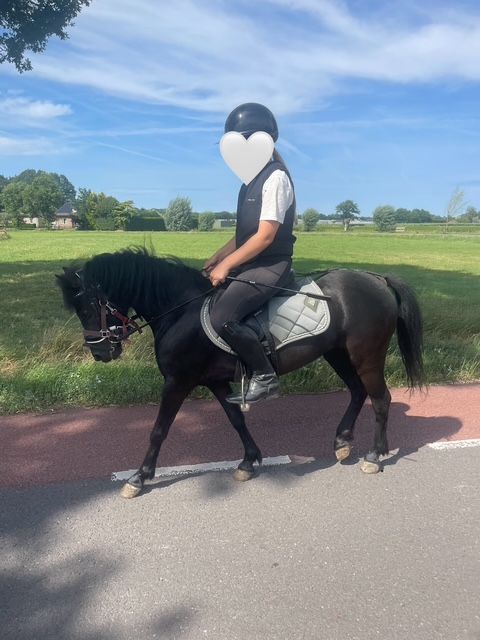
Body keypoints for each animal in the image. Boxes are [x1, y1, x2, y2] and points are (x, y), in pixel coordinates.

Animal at [57, 248, 424, 498]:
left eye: (88, 306)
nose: (100, 352)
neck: (181, 311)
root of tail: (377, 279)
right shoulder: (216, 381)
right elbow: (236, 419)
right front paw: (249, 461)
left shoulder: (178, 381)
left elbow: (159, 430)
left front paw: (139, 477)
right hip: (338, 354)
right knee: (358, 392)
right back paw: (343, 442)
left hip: (366, 356)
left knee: (380, 399)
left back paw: (374, 456)